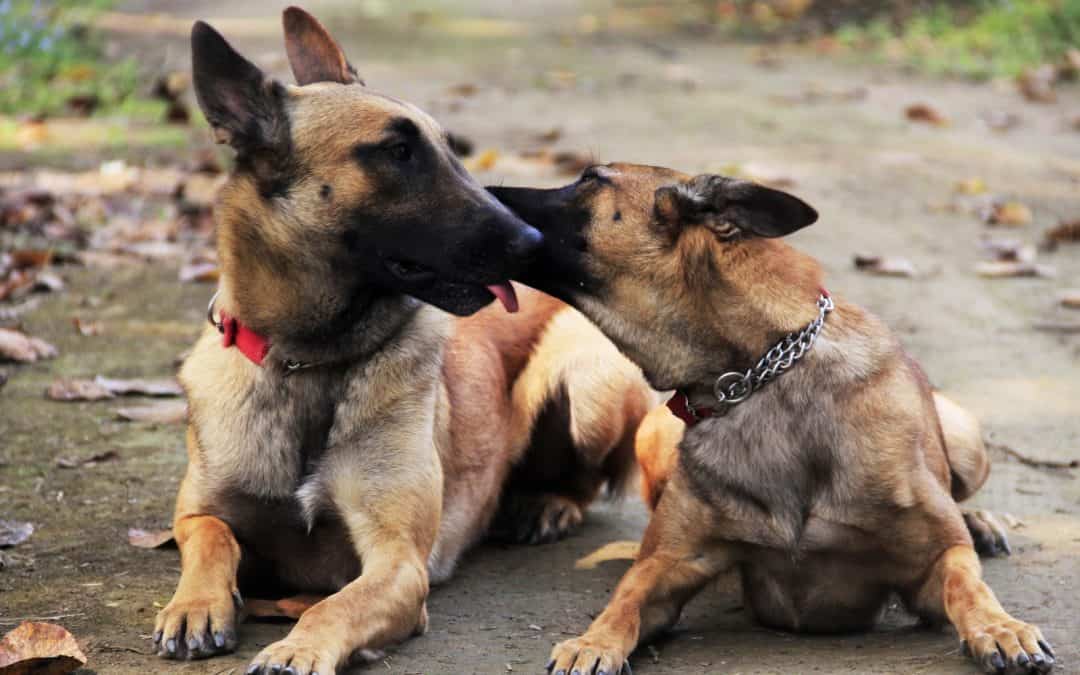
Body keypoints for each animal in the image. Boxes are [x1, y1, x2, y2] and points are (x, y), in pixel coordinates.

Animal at [154, 11, 648, 673]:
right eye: (397, 152)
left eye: (448, 148)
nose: (533, 241)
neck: (308, 360)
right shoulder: (200, 512)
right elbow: (210, 537)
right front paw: (195, 605)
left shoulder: (397, 564)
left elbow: (330, 606)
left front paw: (296, 647)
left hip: (589, 386)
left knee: (584, 478)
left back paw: (545, 503)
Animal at [492, 164, 1054, 673]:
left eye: (590, 178)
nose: (484, 193)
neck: (755, 377)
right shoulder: (668, 564)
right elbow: (625, 599)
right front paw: (593, 642)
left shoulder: (930, 564)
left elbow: (967, 582)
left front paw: (1001, 628)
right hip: (652, 436)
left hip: (966, 436)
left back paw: (979, 522)